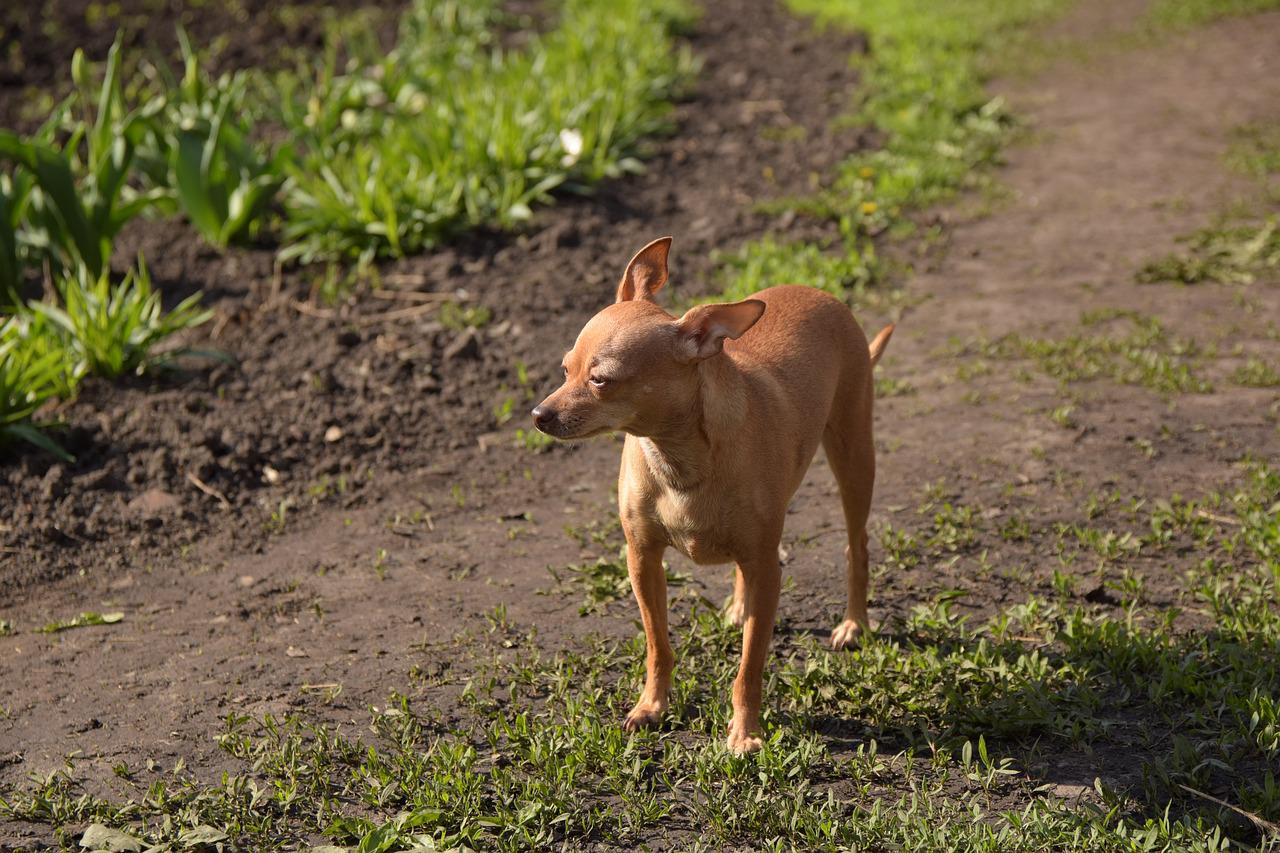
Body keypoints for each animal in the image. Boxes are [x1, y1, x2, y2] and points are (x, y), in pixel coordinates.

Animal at [529, 235, 890, 747]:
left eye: (600, 380)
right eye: (564, 370)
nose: (539, 415)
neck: (678, 460)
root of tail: (819, 292)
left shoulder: (766, 567)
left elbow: (750, 666)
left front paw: (745, 732)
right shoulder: (642, 559)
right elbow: (658, 645)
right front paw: (652, 706)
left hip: (854, 457)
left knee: (856, 545)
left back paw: (854, 624)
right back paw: (741, 606)